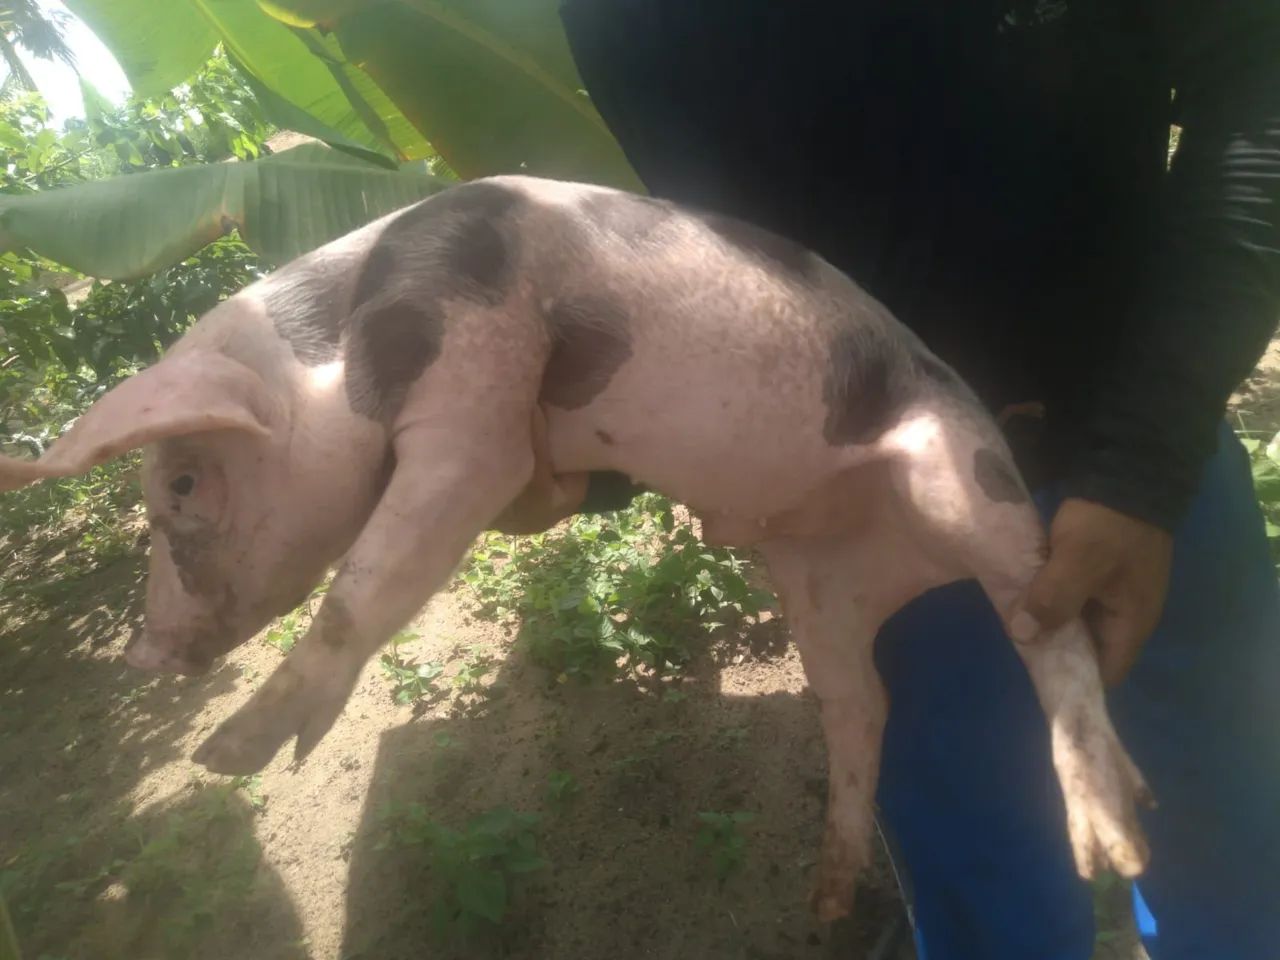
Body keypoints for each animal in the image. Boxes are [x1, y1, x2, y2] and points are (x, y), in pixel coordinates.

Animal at [0, 177, 1152, 920]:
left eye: (184, 486)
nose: (142, 656)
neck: (355, 329)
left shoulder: (476, 394)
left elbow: (359, 589)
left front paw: (225, 754)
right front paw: (247, 751)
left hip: (964, 476)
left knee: (1047, 637)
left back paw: (1114, 848)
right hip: (817, 582)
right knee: (860, 703)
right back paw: (822, 904)